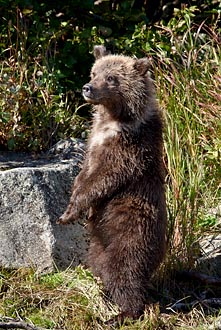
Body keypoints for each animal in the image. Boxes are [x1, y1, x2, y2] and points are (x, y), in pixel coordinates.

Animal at [57, 45, 167, 324]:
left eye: (111, 78)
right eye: (94, 72)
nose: (87, 88)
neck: (114, 119)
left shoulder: (128, 148)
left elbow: (104, 178)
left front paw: (69, 213)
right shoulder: (93, 142)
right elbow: (83, 174)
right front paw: (71, 209)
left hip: (130, 232)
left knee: (124, 271)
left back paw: (124, 312)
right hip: (97, 242)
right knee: (99, 265)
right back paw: (103, 295)